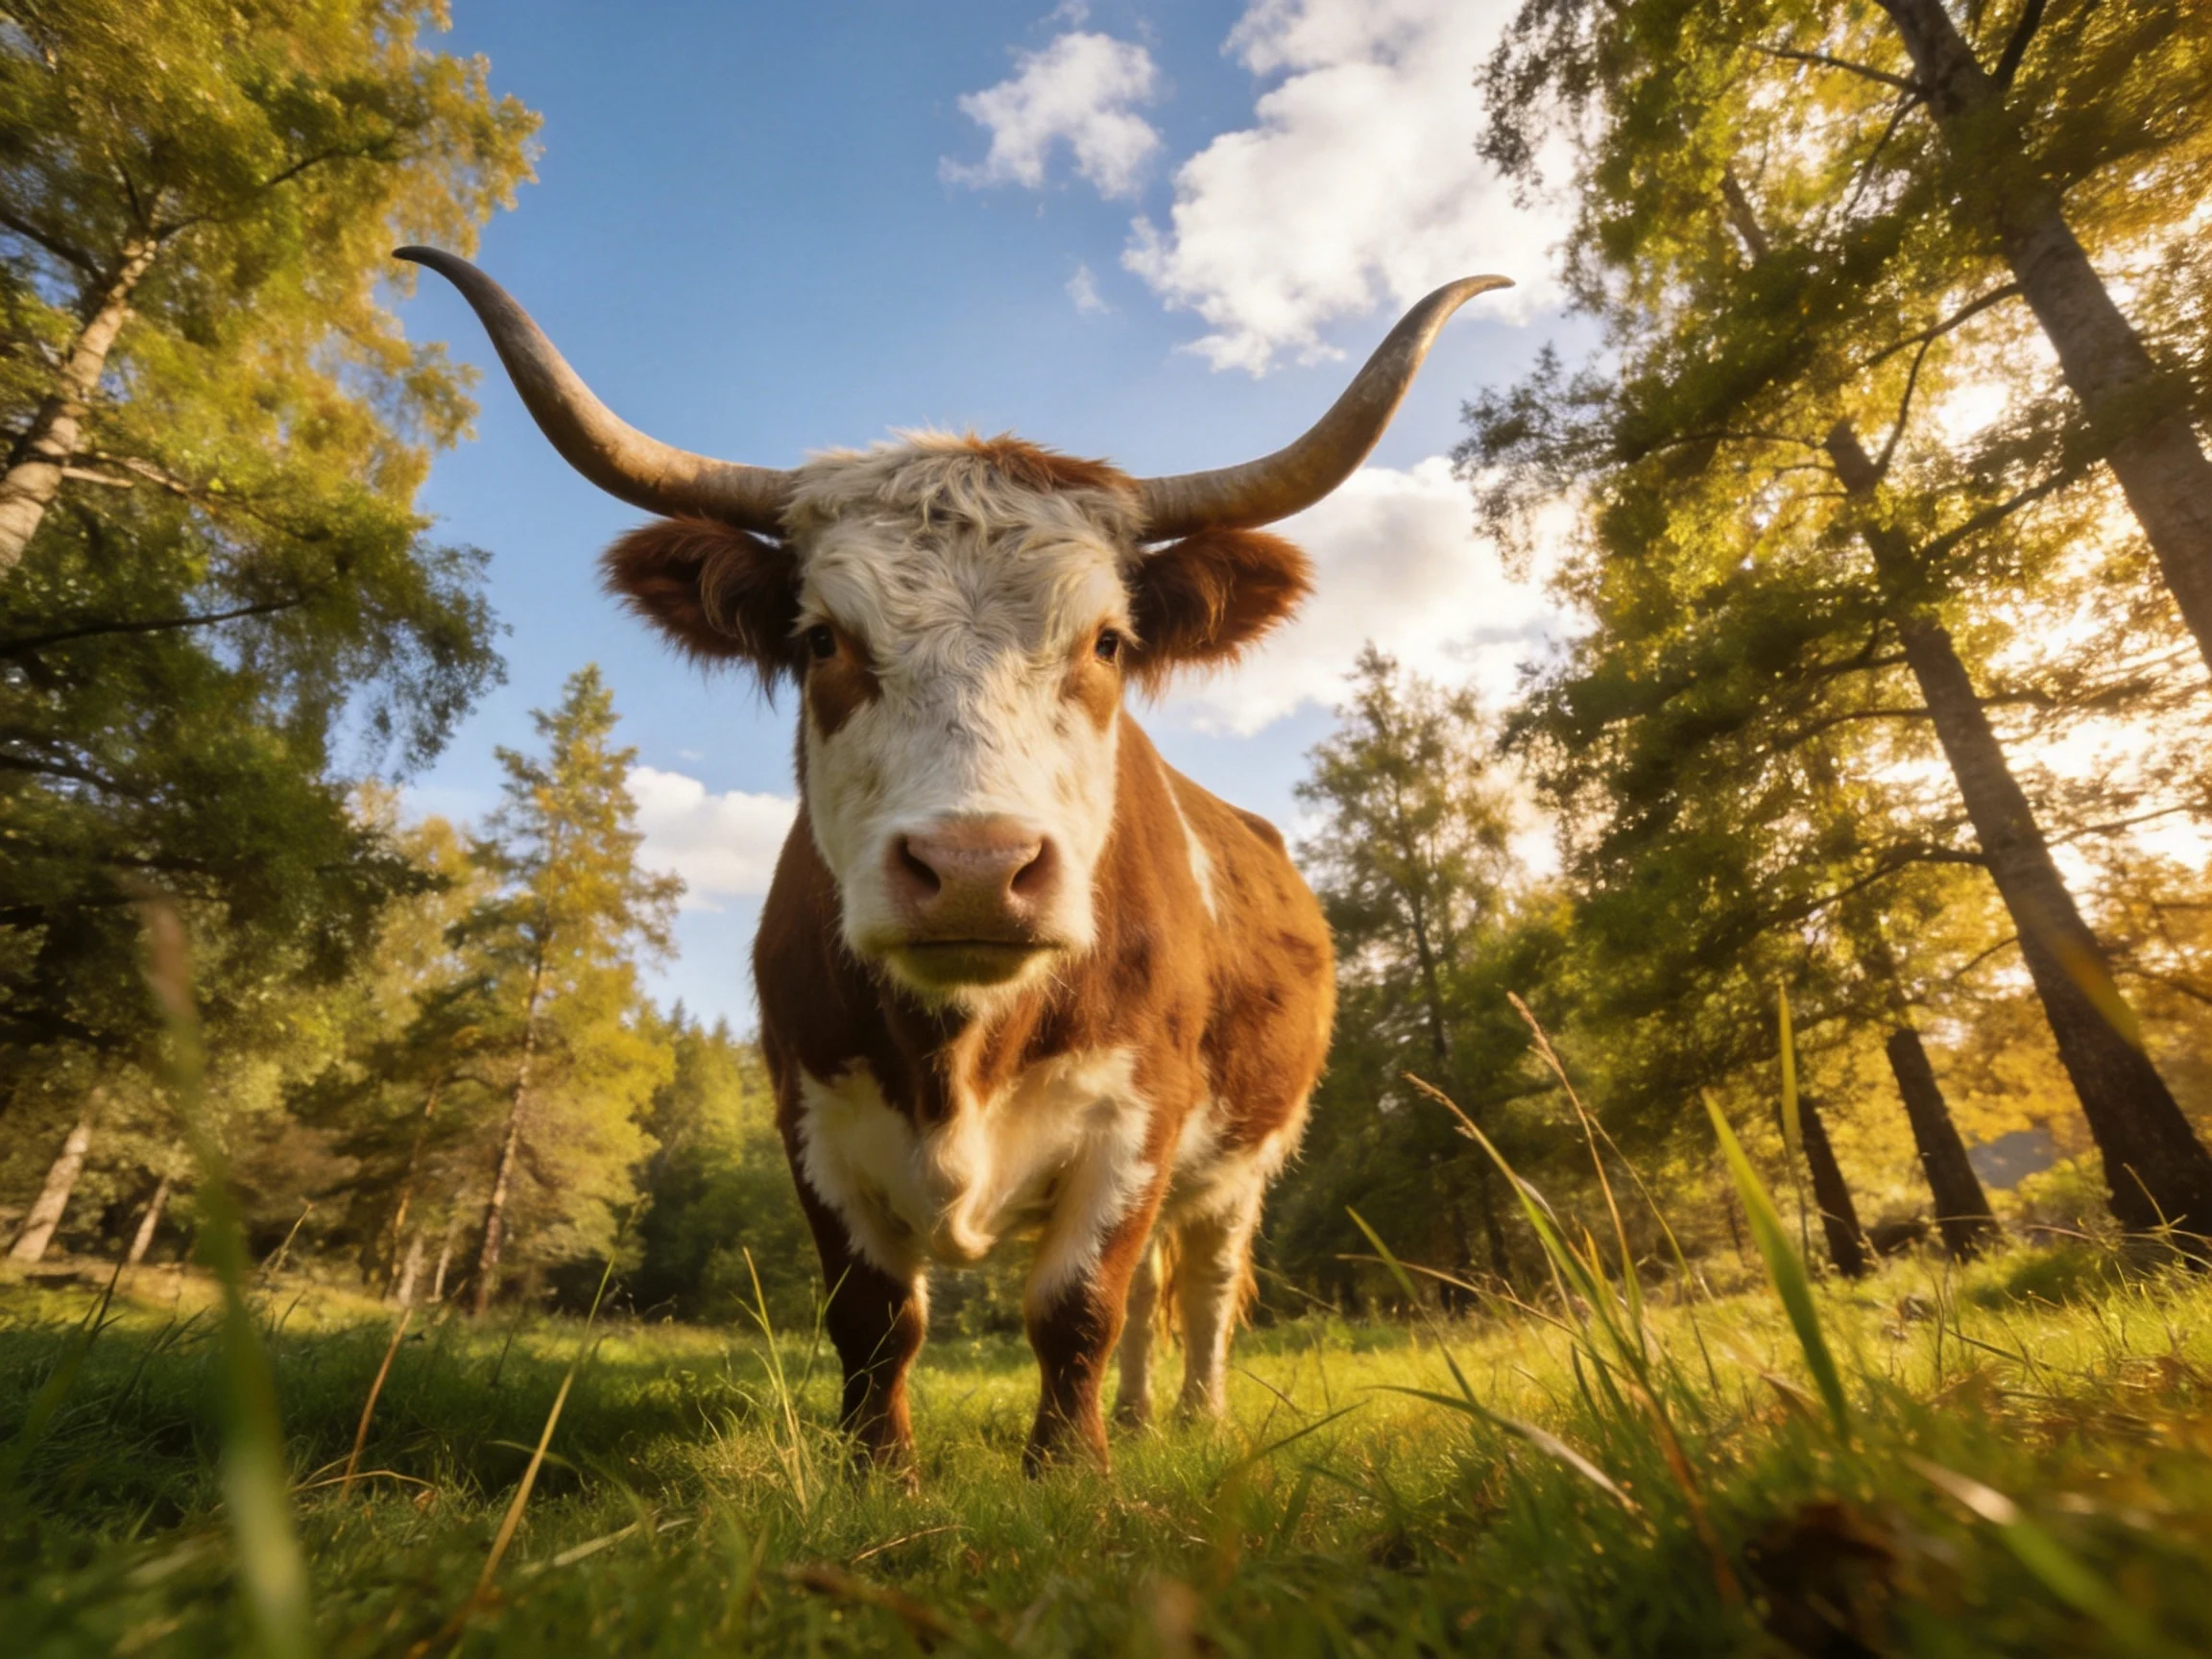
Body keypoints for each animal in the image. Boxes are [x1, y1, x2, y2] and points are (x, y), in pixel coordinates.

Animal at [400, 247, 1507, 1473]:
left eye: (1107, 641)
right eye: (822, 639)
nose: (976, 866)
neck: (959, 1052)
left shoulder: (1140, 1118)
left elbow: (1078, 1305)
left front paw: (1070, 1472)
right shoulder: (811, 1115)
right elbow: (877, 1318)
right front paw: (880, 1473)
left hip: (1244, 1158)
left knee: (1206, 1284)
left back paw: (1195, 1422)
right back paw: (1137, 1416)